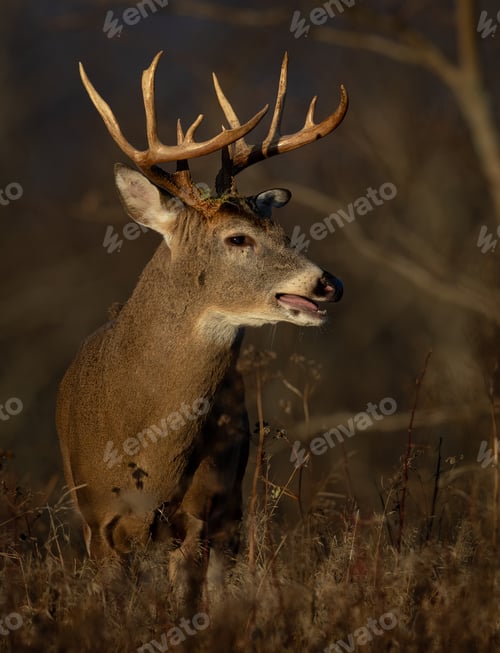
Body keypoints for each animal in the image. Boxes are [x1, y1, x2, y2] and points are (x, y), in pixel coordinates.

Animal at [56, 51, 347, 608]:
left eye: (281, 231)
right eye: (237, 238)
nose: (329, 284)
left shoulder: (198, 513)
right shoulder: (97, 518)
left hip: (230, 504)